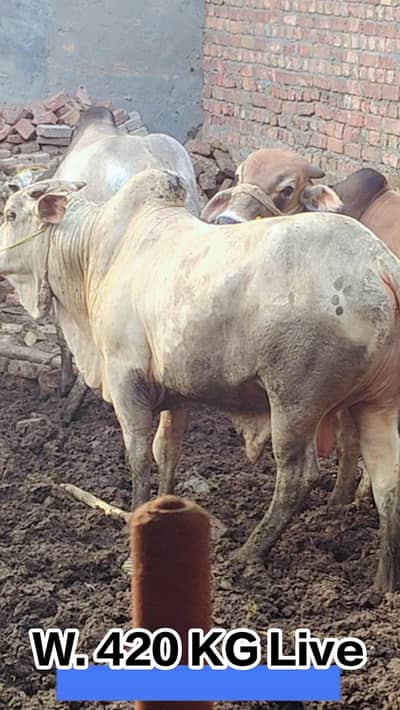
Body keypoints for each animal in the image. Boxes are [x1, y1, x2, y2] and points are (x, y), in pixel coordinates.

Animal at [1, 169, 400, 591]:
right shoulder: (174, 396)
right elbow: (167, 452)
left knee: (297, 477)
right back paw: (382, 585)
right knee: (387, 483)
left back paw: (248, 554)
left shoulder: (127, 383)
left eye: (10, 214)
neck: (97, 252)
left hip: (294, 403)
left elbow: (138, 457)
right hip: (376, 404)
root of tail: (380, 264)